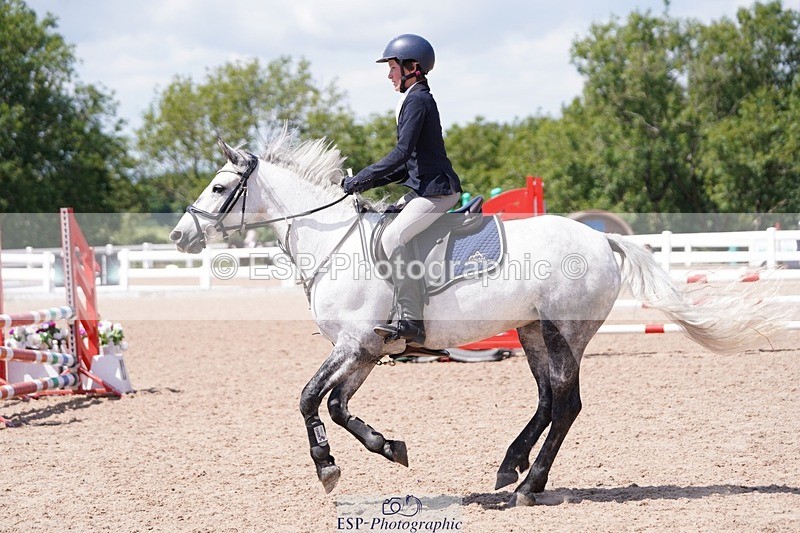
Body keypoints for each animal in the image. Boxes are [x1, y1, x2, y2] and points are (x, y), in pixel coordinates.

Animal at [170, 133, 786, 506]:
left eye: (220, 187)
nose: (179, 235)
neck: (333, 243)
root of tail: (601, 239)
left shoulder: (352, 342)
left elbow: (307, 398)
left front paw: (328, 468)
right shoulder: (365, 349)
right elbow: (339, 405)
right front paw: (388, 447)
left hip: (565, 332)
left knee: (566, 404)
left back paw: (530, 485)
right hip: (533, 331)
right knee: (547, 400)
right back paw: (510, 469)